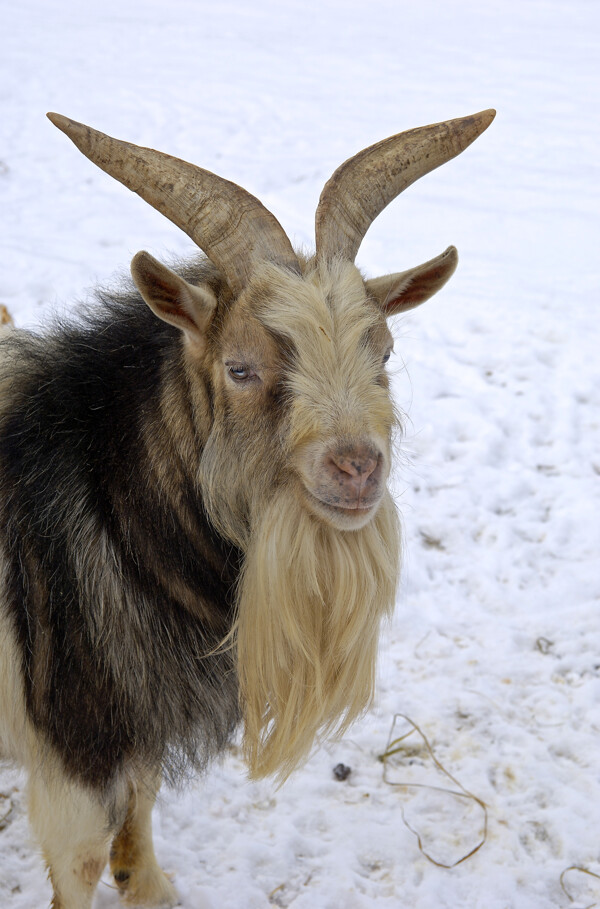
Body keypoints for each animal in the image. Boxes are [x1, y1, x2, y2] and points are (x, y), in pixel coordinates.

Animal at [0, 111, 492, 908]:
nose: (357, 466)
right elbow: (80, 862)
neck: (95, 493)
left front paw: (152, 888)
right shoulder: (73, 744)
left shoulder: (140, 714)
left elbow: (140, 801)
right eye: (240, 367)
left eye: (383, 352)